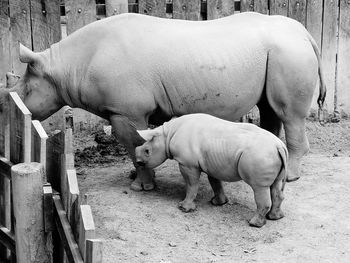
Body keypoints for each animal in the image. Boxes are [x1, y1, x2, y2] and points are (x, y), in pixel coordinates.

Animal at [135, 113, 288, 227]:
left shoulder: (187, 164)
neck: (167, 134)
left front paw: (184, 208)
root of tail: (279, 146)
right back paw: (275, 217)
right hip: (270, 155)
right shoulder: (211, 162)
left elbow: (191, 184)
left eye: (147, 151)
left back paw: (254, 224)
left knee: (259, 187)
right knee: (275, 185)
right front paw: (218, 202)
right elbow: (215, 182)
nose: (138, 162)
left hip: (259, 155)